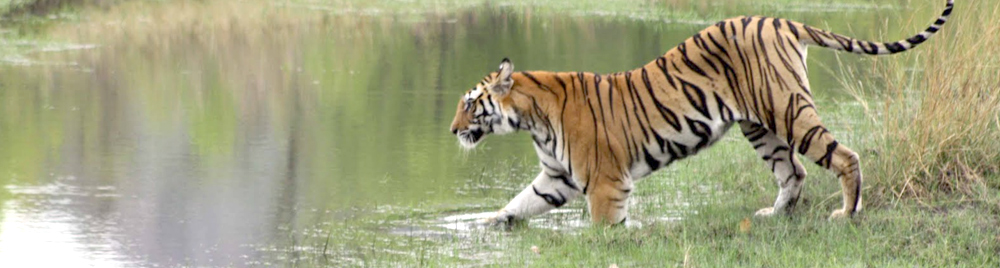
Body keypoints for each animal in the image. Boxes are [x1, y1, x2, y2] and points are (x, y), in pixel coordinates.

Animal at [448, 0, 952, 226]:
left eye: (470, 103)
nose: (452, 130)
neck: (531, 119)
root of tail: (783, 19)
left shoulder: (605, 181)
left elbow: (606, 227)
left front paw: (617, 239)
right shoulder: (555, 177)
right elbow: (519, 202)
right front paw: (486, 223)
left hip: (788, 111)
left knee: (844, 156)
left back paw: (846, 213)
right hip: (760, 127)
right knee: (793, 173)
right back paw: (773, 215)